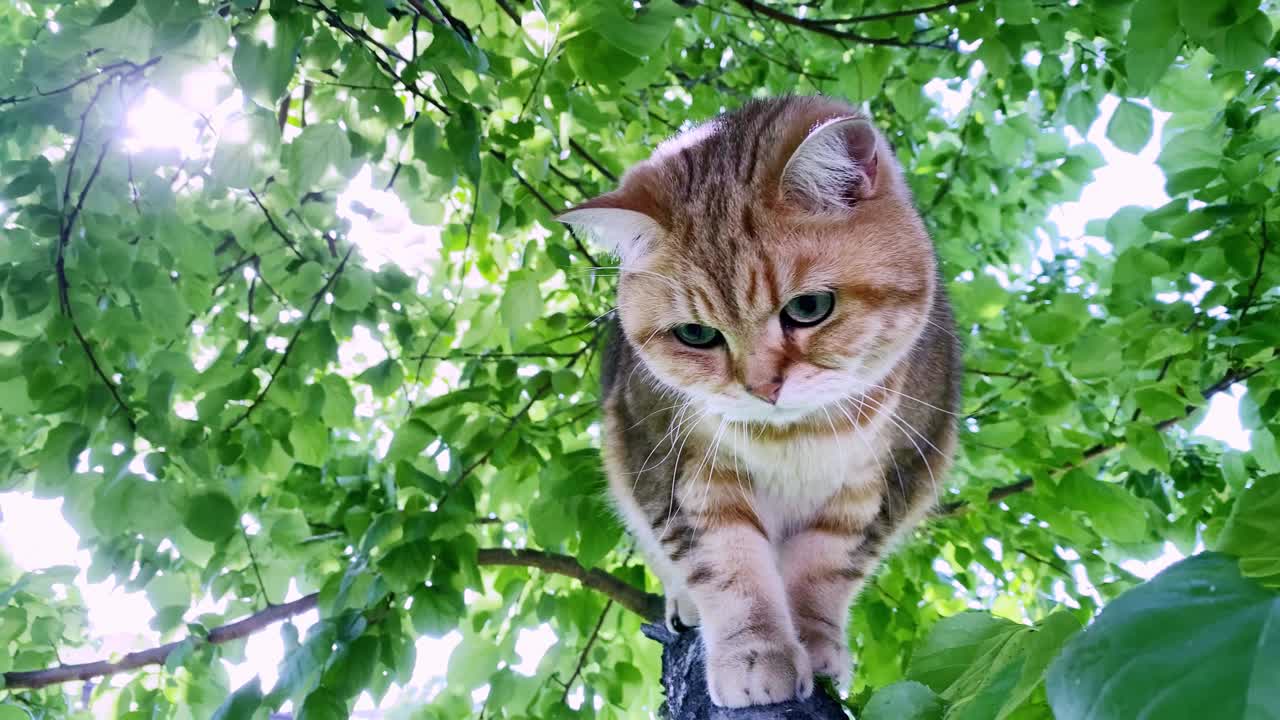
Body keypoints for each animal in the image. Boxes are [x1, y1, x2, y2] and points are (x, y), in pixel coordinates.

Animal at [560, 95, 962, 707]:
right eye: (696, 335)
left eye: (810, 308)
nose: (761, 388)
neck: (793, 438)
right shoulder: (674, 468)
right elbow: (728, 569)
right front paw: (756, 653)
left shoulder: (890, 479)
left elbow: (825, 570)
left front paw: (815, 644)